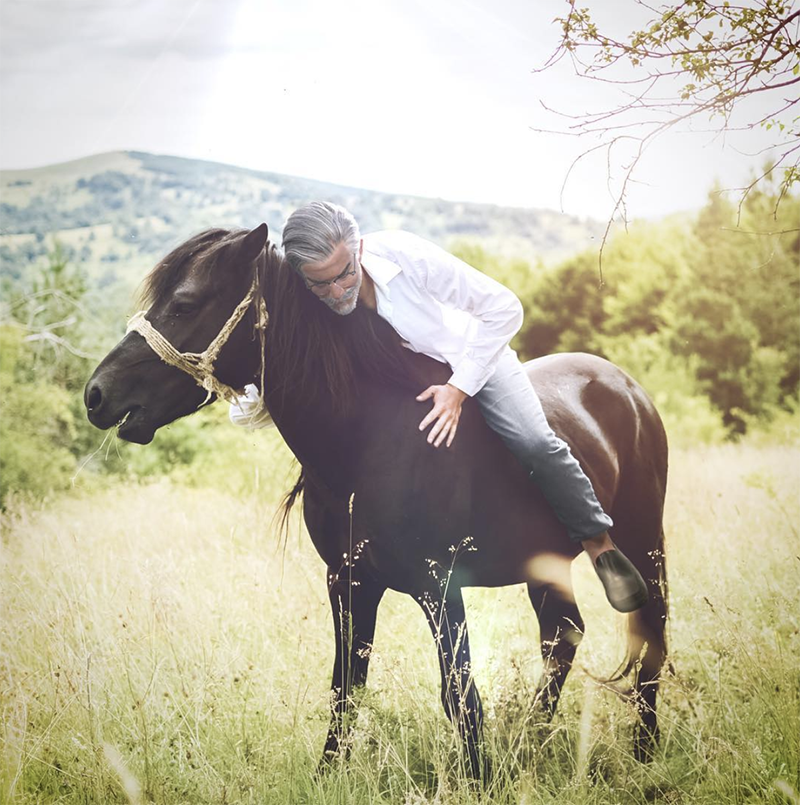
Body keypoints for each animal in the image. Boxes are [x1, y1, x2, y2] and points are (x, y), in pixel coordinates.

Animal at [84, 223, 668, 776]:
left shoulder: (440, 585)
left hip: (644, 542)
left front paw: (480, 778)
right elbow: (347, 687)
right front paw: (328, 775)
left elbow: (460, 696)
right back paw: (533, 741)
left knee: (648, 637)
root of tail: (628, 387)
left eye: (183, 303)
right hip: (544, 566)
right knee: (562, 637)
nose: (96, 394)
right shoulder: (348, 580)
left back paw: (644, 752)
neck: (369, 437)